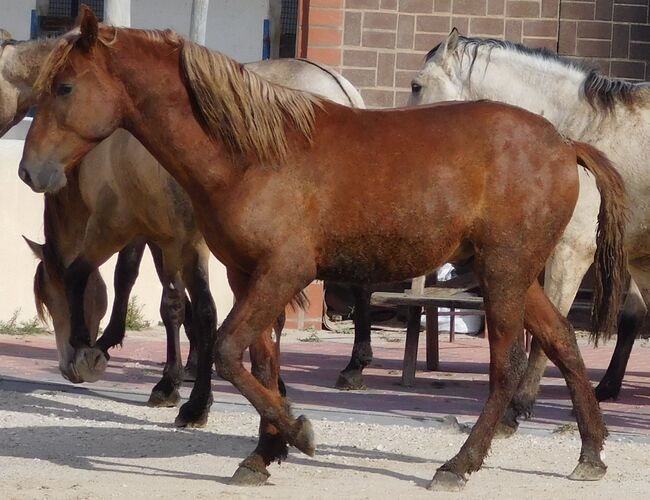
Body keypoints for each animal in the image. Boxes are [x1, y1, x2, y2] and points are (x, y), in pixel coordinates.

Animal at [20, 8, 624, 492]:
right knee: (564, 343)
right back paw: (591, 453)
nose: (29, 172)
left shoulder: (283, 271)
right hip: (514, 274)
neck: (252, 155)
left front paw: (297, 432)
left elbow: (224, 348)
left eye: (65, 87)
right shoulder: (246, 274)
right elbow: (259, 358)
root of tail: (564, 143)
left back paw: (459, 463)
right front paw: (264, 453)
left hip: (503, 273)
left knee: (506, 366)